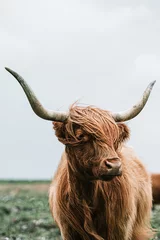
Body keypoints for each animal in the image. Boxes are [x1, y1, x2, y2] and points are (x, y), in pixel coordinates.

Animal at [5, 66, 156, 239]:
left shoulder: (121, 230)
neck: (87, 197)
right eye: (81, 137)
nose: (114, 166)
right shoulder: (67, 231)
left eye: (114, 138)